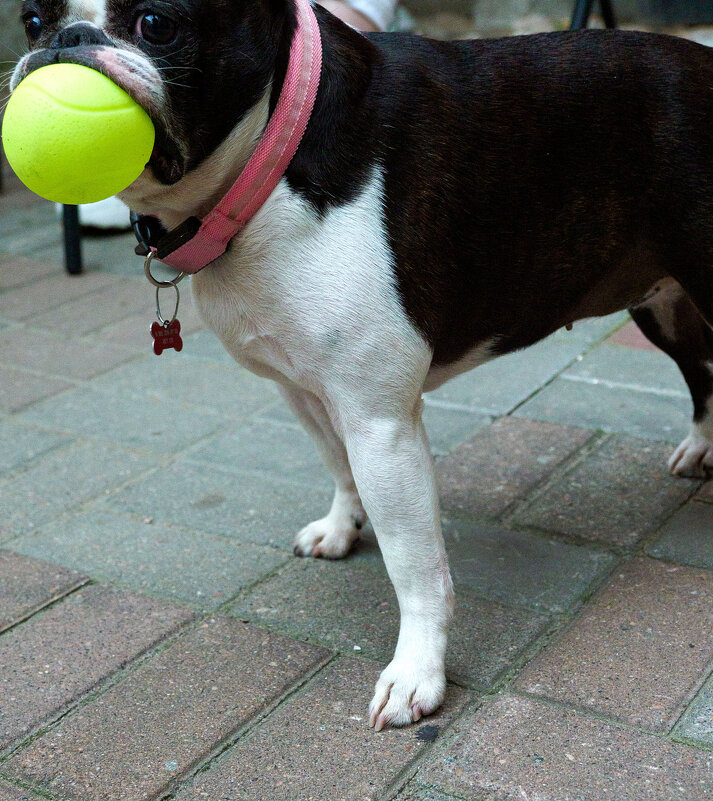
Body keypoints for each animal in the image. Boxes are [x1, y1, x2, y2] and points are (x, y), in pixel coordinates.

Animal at [12, 0, 713, 732]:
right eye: (31, 20)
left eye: (156, 24)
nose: (65, 40)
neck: (271, 161)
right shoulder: (305, 389)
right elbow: (337, 463)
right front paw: (343, 526)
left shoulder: (380, 422)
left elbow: (414, 562)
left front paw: (417, 674)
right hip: (659, 302)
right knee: (702, 371)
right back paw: (700, 447)